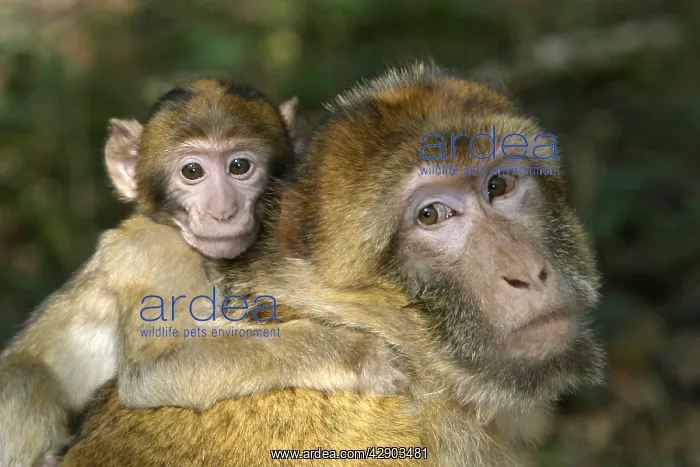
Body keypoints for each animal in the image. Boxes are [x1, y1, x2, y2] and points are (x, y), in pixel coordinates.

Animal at [0, 79, 407, 467]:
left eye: (239, 166)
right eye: (192, 171)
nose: (223, 211)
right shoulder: (156, 258)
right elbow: (151, 372)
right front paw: (355, 354)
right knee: (23, 375)